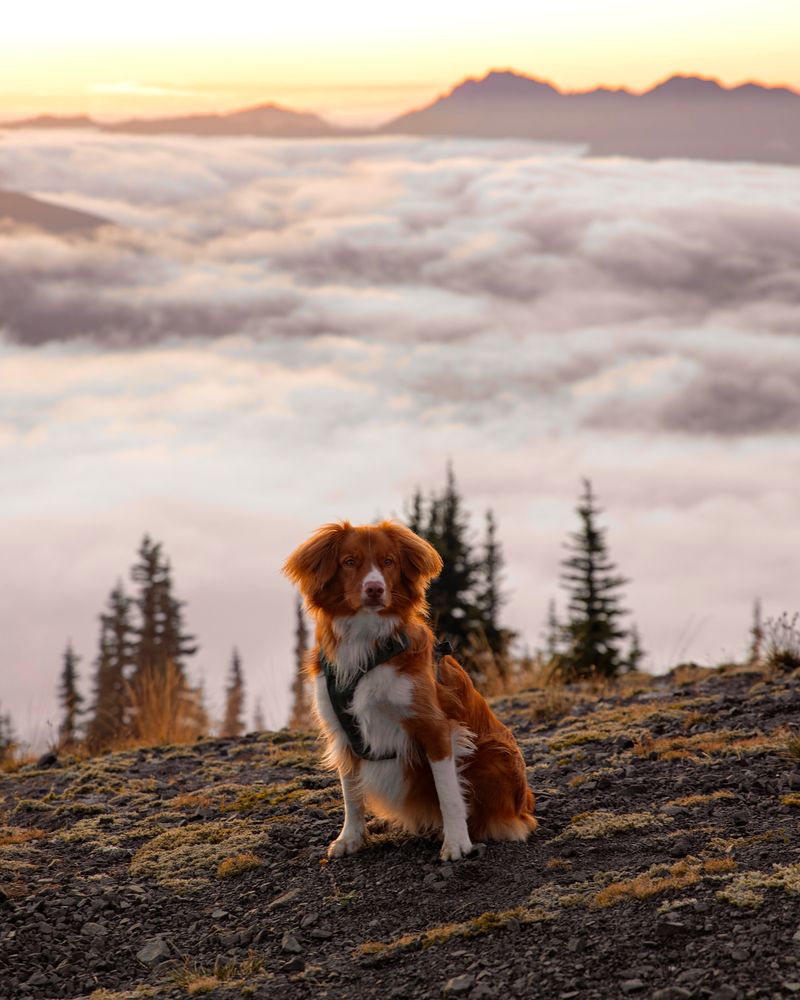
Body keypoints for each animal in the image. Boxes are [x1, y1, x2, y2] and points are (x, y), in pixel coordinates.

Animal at [282, 524, 536, 860]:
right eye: (349, 562)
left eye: (388, 562)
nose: (374, 588)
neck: (367, 642)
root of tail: (525, 804)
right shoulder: (343, 733)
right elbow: (351, 794)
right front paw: (350, 838)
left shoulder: (436, 728)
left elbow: (449, 794)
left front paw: (457, 843)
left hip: (496, 753)